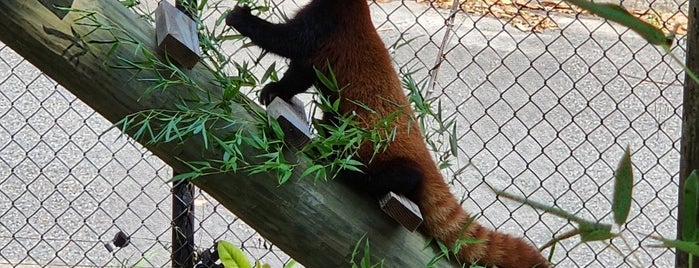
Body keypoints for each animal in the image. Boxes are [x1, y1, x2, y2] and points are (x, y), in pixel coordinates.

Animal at [227, 1, 548, 266]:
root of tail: (426, 159)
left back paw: (344, 165)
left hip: (383, 151)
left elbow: (289, 47)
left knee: (403, 175)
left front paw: (242, 20)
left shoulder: (326, 25)